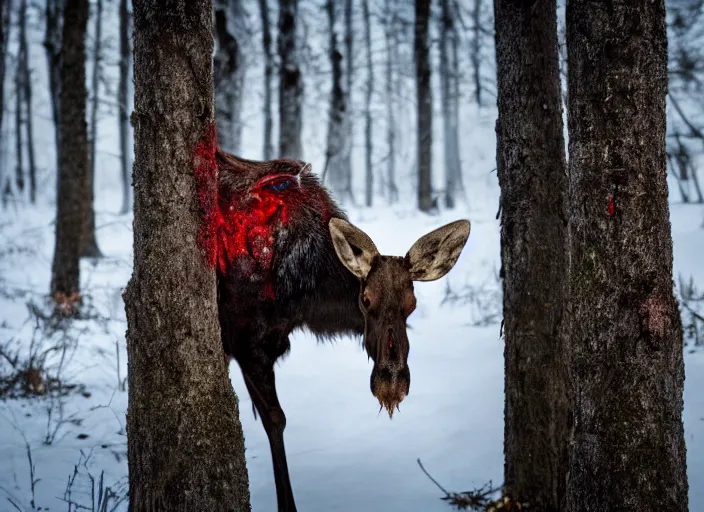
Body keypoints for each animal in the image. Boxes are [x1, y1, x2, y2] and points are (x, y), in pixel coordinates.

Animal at [213, 150, 468, 510]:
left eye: (412, 304)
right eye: (365, 299)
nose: (391, 383)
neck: (306, 296)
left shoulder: (265, 342)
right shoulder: (246, 341)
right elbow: (275, 419)